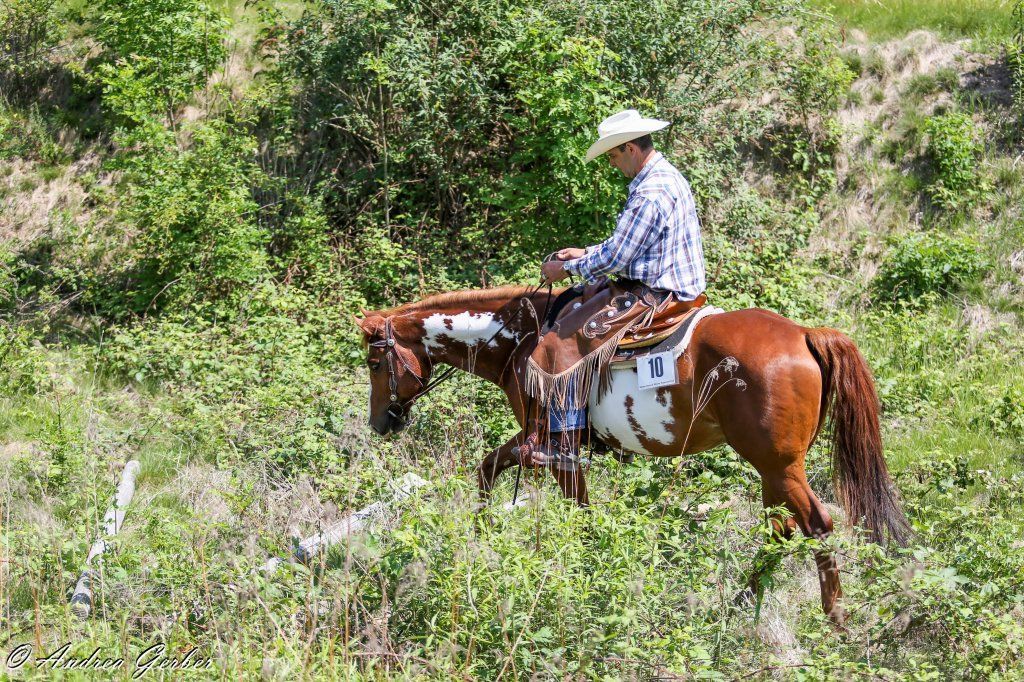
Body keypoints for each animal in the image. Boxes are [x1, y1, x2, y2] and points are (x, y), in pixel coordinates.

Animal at [354, 284, 910, 624]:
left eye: (375, 363)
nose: (381, 422)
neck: (518, 341)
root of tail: (804, 333)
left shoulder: (550, 442)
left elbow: (547, 494)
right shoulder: (550, 445)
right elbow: (497, 471)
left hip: (778, 465)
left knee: (816, 524)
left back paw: (834, 617)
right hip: (772, 469)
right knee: (781, 529)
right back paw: (738, 602)